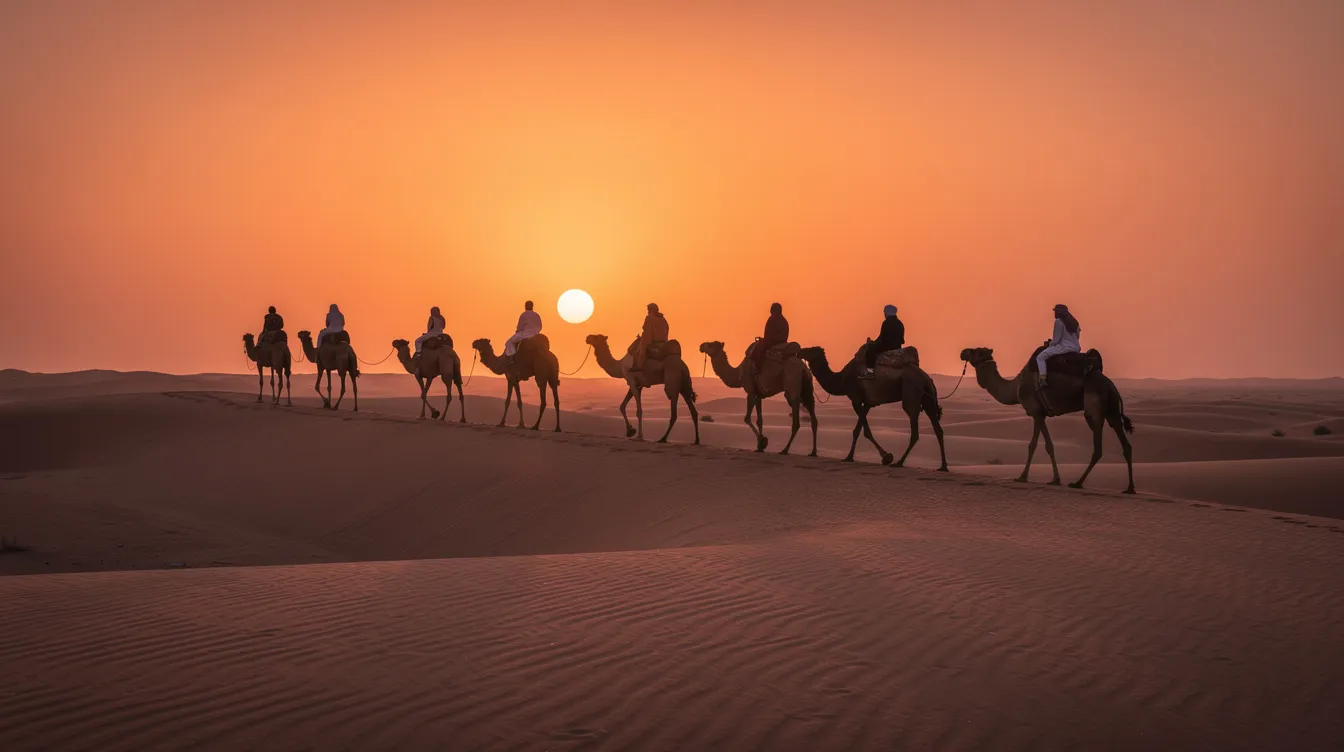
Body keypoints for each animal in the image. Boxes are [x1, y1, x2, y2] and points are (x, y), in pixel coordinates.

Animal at [798, 346, 947, 470]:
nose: (799, 350)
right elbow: (857, 430)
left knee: (915, 430)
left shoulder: (855, 398)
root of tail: (926, 378)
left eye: (810, 349)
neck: (841, 379)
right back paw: (943, 466)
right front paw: (849, 457)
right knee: (938, 429)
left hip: (912, 391)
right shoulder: (868, 403)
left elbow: (865, 431)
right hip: (927, 397)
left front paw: (886, 456)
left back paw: (899, 462)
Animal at [960, 346, 1134, 493]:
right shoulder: (1042, 414)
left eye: (975, 350)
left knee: (1098, 447)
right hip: (1112, 410)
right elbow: (1049, 445)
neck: (1016, 386)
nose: (963, 352)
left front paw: (1022, 477)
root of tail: (1111, 385)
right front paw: (1055, 479)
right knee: (1125, 445)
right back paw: (1130, 488)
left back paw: (1077, 483)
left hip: (1095, 406)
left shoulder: (1035, 412)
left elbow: (1033, 445)